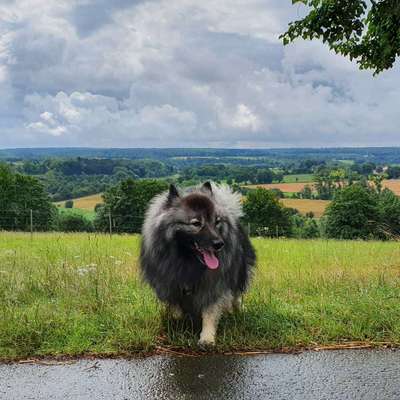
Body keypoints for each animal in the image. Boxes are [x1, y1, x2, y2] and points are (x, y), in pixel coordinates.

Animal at [139, 183, 255, 346]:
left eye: (216, 221)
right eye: (196, 223)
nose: (219, 244)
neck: (188, 260)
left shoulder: (214, 285)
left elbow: (210, 312)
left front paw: (207, 338)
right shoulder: (170, 284)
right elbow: (176, 309)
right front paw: (181, 325)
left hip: (238, 273)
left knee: (236, 296)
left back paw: (238, 310)